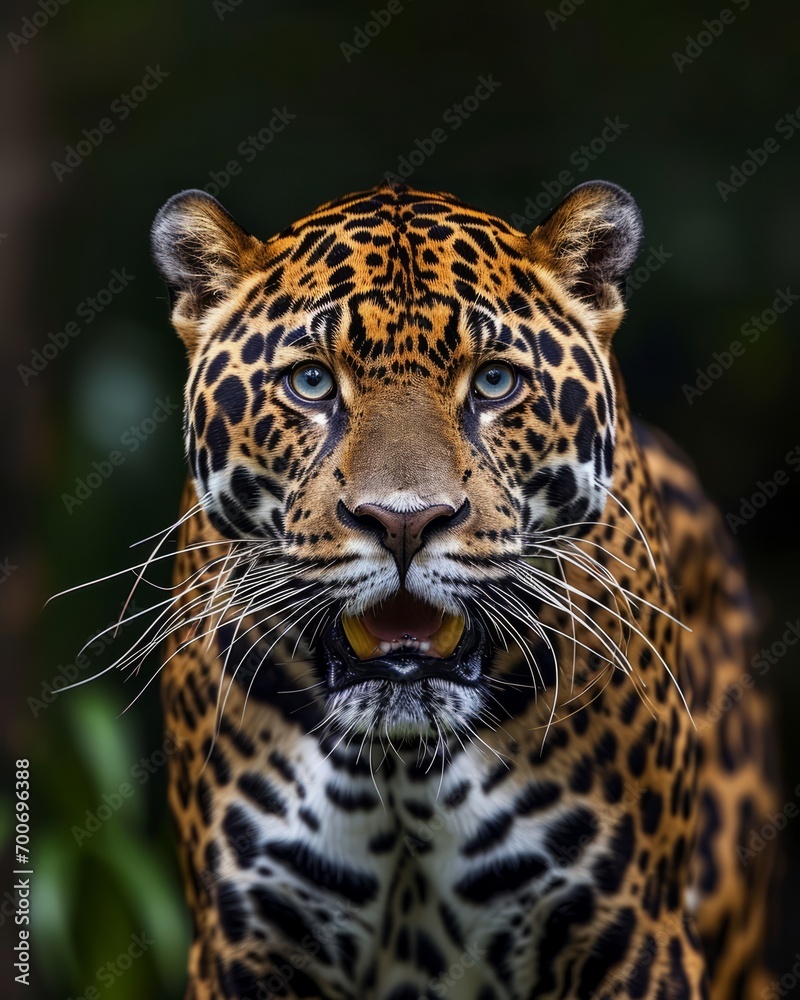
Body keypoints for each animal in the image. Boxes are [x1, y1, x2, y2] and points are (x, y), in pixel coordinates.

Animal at [140, 178, 779, 999]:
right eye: (311, 383)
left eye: (495, 382)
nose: (404, 520)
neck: (404, 770)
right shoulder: (248, 943)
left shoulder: (632, 932)